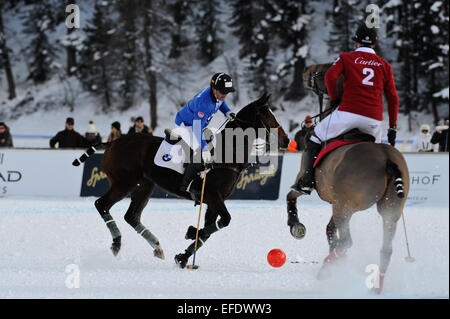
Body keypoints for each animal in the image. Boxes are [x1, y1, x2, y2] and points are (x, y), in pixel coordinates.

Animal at [74, 93, 288, 268]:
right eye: (266, 115)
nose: (286, 141)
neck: (227, 153)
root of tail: (113, 142)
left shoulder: (212, 201)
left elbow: (209, 231)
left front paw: (183, 255)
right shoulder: (212, 195)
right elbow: (224, 221)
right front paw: (190, 233)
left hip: (144, 185)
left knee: (131, 216)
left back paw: (157, 247)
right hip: (123, 183)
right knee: (101, 204)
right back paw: (117, 243)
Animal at [286, 63, 410, 296]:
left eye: (323, 70)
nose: (306, 71)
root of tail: (387, 158)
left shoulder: (307, 183)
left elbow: (292, 193)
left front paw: (295, 225)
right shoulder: (336, 200)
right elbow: (329, 230)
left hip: (346, 207)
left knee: (347, 242)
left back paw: (326, 268)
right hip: (389, 209)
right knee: (385, 249)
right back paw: (375, 288)